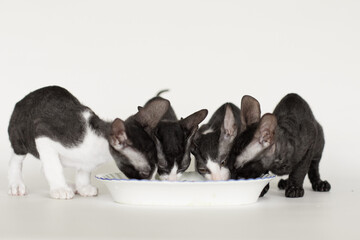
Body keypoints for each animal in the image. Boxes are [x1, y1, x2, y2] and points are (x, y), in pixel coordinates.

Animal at [7, 86, 169, 199]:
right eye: (145, 172)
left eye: (156, 170)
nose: (150, 185)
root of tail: (22, 100)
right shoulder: (43, 133)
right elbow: (53, 167)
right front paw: (59, 189)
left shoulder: (87, 161)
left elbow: (84, 171)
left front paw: (83, 186)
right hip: (20, 138)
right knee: (16, 160)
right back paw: (17, 184)